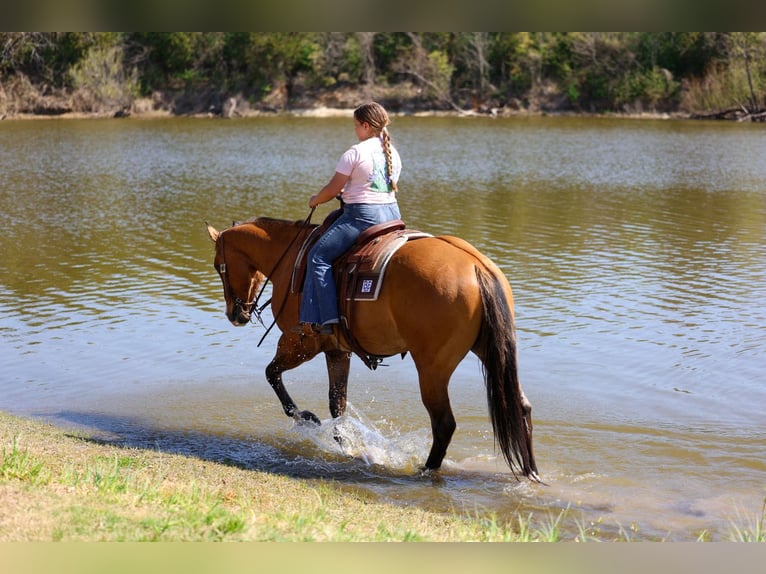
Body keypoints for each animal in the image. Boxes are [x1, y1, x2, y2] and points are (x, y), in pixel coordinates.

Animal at [205, 216, 539, 480]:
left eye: (219, 266)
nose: (235, 314)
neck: (291, 261)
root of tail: (476, 266)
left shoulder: (299, 342)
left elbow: (272, 375)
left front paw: (307, 418)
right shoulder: (337, 350)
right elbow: (337, 404)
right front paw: (345, 444)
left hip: (432, 369)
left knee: (444, 423)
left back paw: (425, 469)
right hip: (490, 352)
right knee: (520, 406)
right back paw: (530, 471)